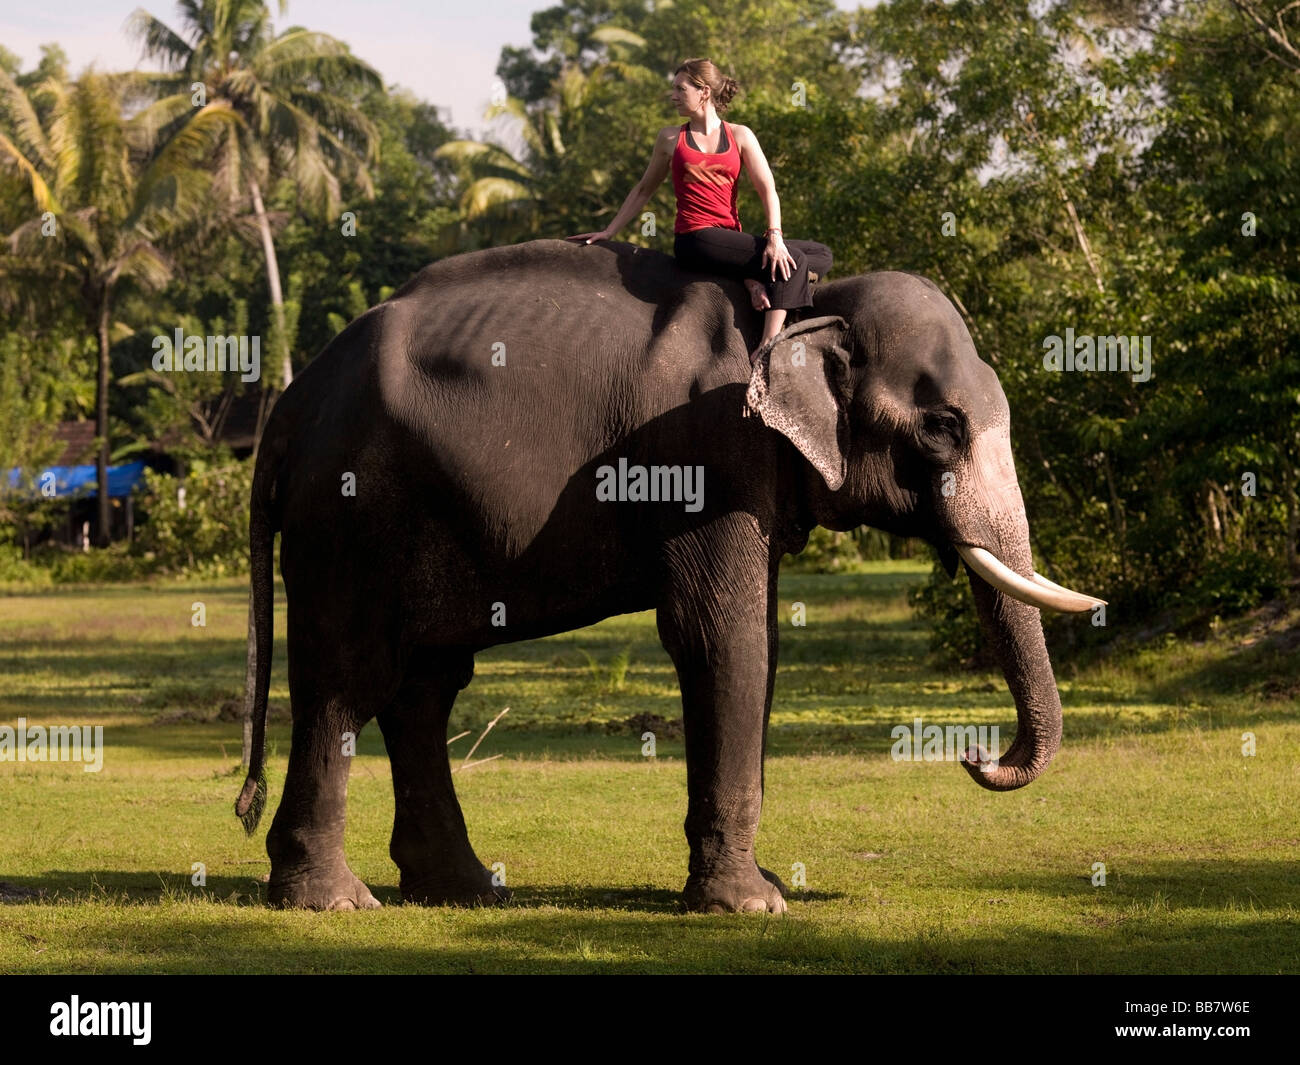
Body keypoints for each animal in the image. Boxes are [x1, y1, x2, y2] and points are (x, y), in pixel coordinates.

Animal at [231, 237, 1097, 910]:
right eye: (943, 426)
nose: (974, 754)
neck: (807, 311)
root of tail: (288, 409)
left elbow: (762, 640)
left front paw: (763, 885)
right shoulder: (710, 453)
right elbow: (723, 636)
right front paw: (751, 905)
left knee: (426, 685)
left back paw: (464, 888)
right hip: (350, 516)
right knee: (349, 679)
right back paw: (334, 900)